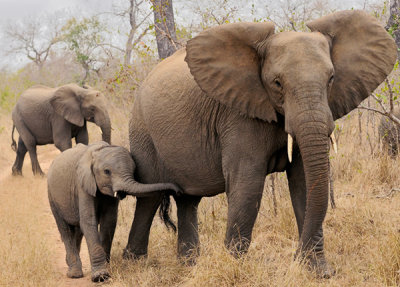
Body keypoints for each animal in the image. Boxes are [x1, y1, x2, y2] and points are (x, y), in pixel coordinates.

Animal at [47, 143, 182, 282]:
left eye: (134, 169)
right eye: (107, 171)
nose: (177, 190)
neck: (98, 151)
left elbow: (109, 221)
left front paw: (106, 268)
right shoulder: (82, 185)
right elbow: (89, 222)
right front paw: (100, 276)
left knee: (78, 231)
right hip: (52, 196)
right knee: (65, 230)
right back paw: (74, 274)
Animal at [126, 9, 396, 280]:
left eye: (331, 79)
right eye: (277, 83)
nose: (295, 256)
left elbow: (304, 182)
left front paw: (317, 270)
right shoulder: (238, 114)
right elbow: (248, 185)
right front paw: (235, 269)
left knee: (187, 200)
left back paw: (188, 264)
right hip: (141, 129)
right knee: (150, 195)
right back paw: (134, 263)